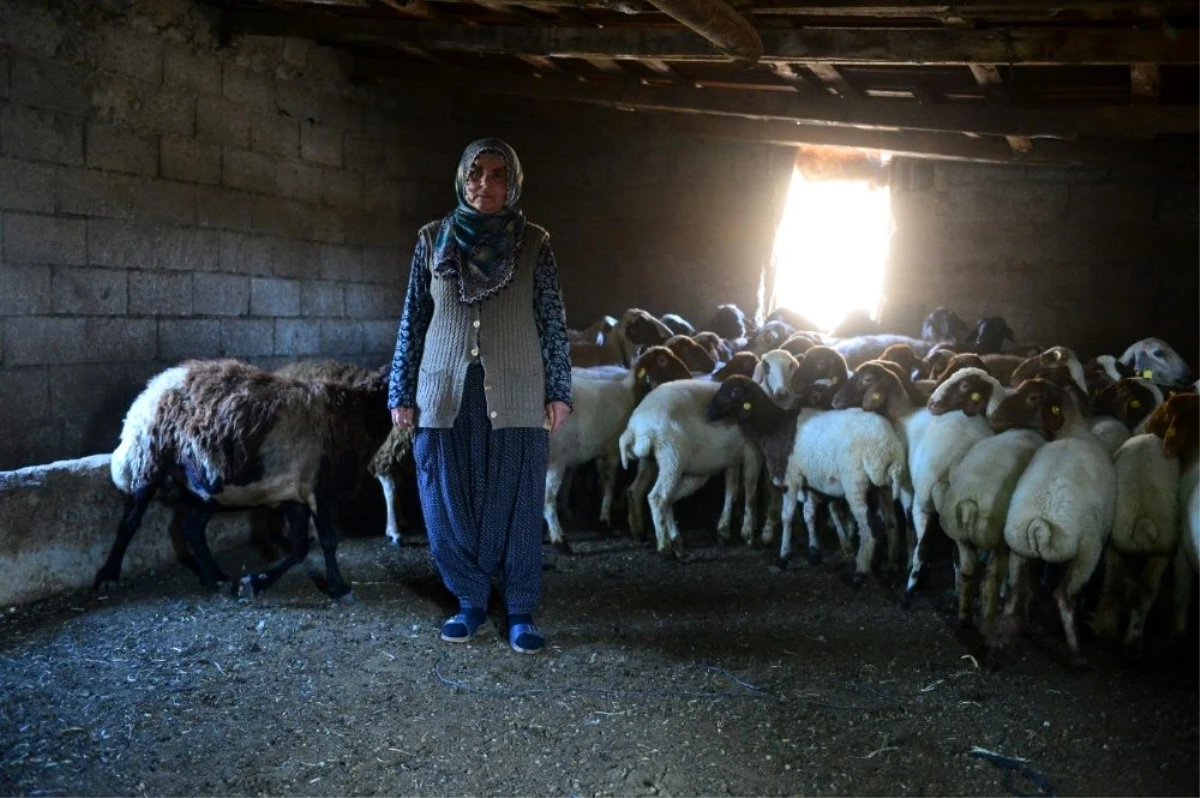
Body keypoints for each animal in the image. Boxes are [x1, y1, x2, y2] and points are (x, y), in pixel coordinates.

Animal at [100, 360, 388, 597]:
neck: (358, 412)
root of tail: (154, 385)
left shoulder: (296, 493)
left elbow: (300, 550)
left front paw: (255, 583)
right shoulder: (319, 489)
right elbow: (328, 541)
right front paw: (339, 588)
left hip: (210, 485)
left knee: (191, 528)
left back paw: (216, 578)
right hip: (150, 458)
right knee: (131, 521)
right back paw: (108, 577)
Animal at [984, 376, 1113, 667]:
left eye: (1032, 397)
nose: (994, 417)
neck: (1073, 430)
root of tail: (1040, 522)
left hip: (1018, 548)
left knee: (1014, 595)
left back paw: (1000, 647)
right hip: (1087, 550)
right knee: (1064, 596)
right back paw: (1077, 656)